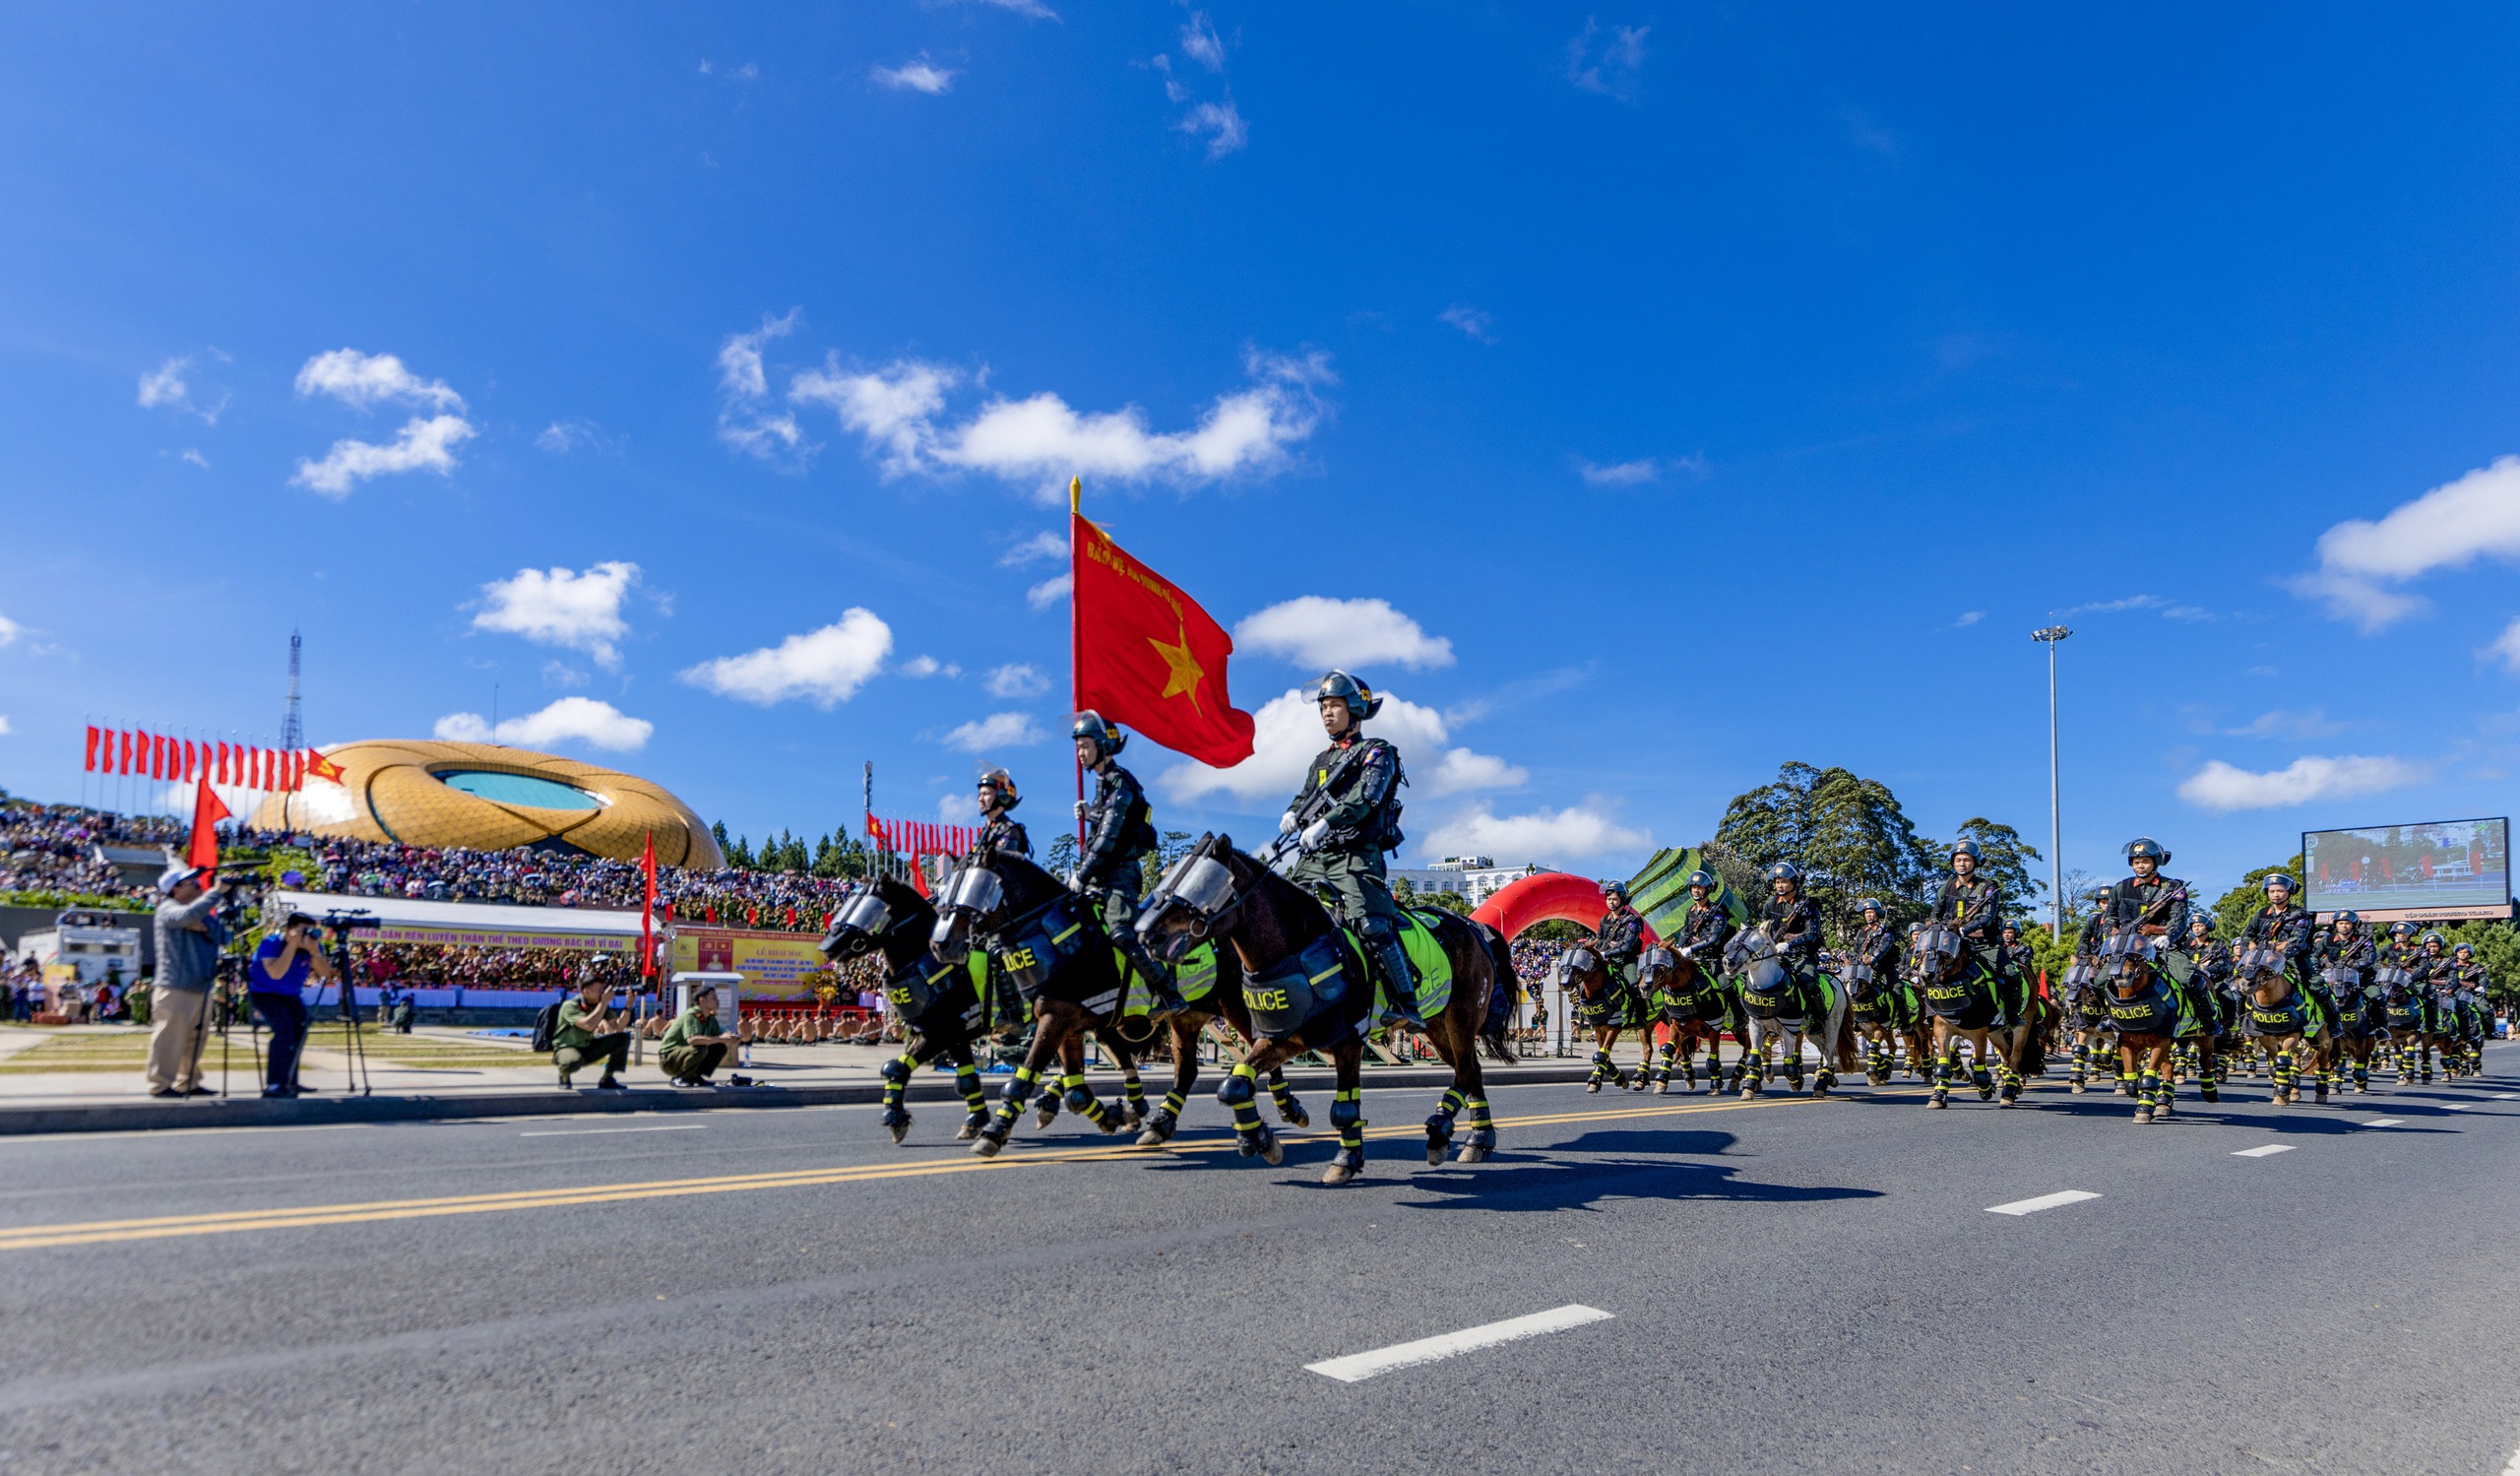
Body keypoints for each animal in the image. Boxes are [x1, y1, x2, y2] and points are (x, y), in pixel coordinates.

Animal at [1144, 831, 1512, 1179]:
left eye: (1202, 883)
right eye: (1166, 879)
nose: (1148, 935)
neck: (1298, 948)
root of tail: (1474, 926)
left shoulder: (1347, 1042)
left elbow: (1344, 1109)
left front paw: (1344, 1160)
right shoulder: (1285, 1038)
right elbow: (1235, 1083)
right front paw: (1258, 1137)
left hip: (1461, 1019)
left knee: (1466, 1071)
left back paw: (1444, 1128)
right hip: (1437, 1026)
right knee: (1471, 1070)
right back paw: (1476, 1139)